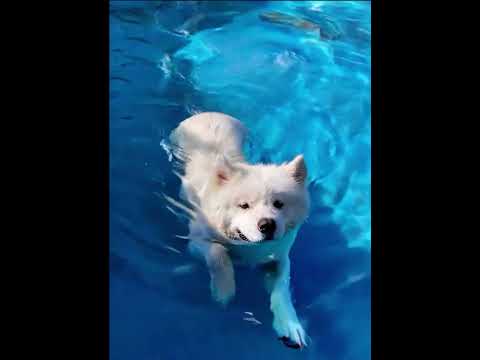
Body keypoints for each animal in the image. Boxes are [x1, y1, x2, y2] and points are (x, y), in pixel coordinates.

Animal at [169, 112, 310, 348]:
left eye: (279, 204)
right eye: (244, 205)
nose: (267, 224)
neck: (246, 244)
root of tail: (208, 113)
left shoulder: (278, 258)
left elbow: (282, 288)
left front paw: (290, 324)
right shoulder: (196, 242)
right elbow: (218, 254)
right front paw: (224, 291)